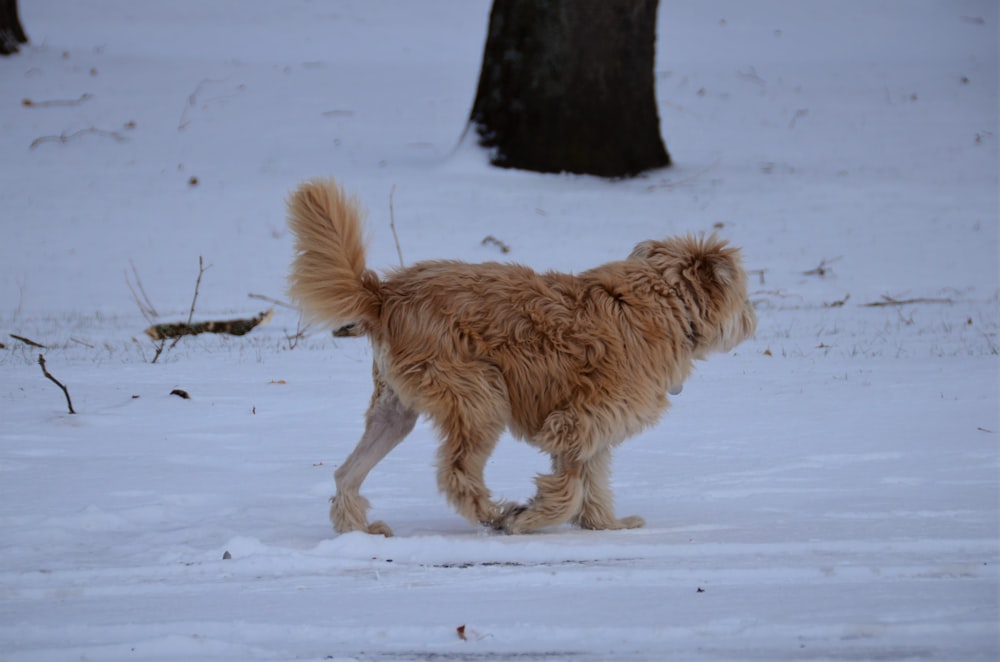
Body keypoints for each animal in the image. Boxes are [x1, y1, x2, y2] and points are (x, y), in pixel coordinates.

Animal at [286, 179, 752, 536]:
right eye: (744, 294)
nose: (752, 321)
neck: (665, 301)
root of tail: (385, 295)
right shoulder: (574, 423)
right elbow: (571, 486)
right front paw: (532, 518)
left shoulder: (596, 426)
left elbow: (594, 482)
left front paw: (605, 525)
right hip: (479, 398)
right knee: (456, 473)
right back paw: (496, 514)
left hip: (395, 410)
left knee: (346, 472)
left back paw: (359, 530)